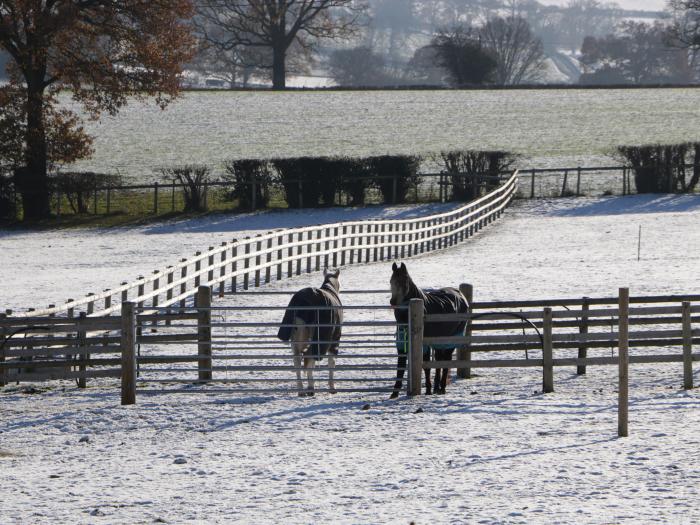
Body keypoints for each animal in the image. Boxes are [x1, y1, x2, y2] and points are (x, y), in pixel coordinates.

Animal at [276, 268, 342, 396]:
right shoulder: (334, 339)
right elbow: (331, 362)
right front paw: (332, 388)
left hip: (295, 338)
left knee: (297, 361)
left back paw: (301, 390)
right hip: (317, 337)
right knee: (309, 357)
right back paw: (311, 388)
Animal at [392, 262, 468, 398]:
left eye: (404, 282)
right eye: (391, 281)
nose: (392, 302)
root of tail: (461, 295)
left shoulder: (424, 344)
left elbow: (426, 367)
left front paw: (427, 389)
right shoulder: (402, 342)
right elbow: (400, 365)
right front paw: (394, 393)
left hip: (452, 338)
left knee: (446, 361)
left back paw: (442, 388)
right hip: (439, 341)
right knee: (439, 360)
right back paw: (437, 387)